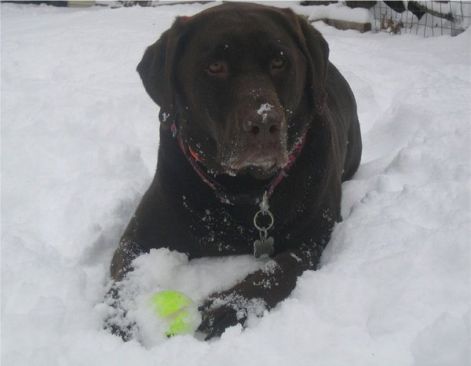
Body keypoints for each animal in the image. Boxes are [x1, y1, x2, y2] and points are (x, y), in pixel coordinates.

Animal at [109, 2, 364, 340]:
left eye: (279, 61)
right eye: (215, 66)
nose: (265, 123)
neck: (242, 189)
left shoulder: (314, 238)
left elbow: (279, 268)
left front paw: (230, 306)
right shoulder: (139, 234)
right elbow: (125, 274)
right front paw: (121, 317)